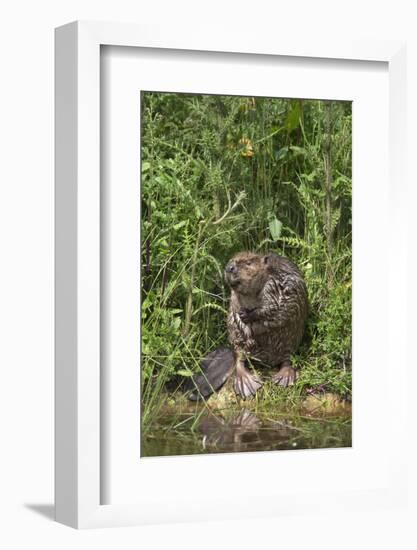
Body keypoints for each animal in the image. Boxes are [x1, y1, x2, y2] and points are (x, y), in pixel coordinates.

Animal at [188, 253, 306, 402]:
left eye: (249, 263)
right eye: (231, 261)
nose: (229, 267)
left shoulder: (275, 286)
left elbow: (275, 308)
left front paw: (249, 315)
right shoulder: (235, 297)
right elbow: (235, 313)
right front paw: (248, 332)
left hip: (290, 343)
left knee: (286, 360)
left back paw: (283, 378)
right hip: (236, 344)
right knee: (239, 359)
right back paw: (247, 383)